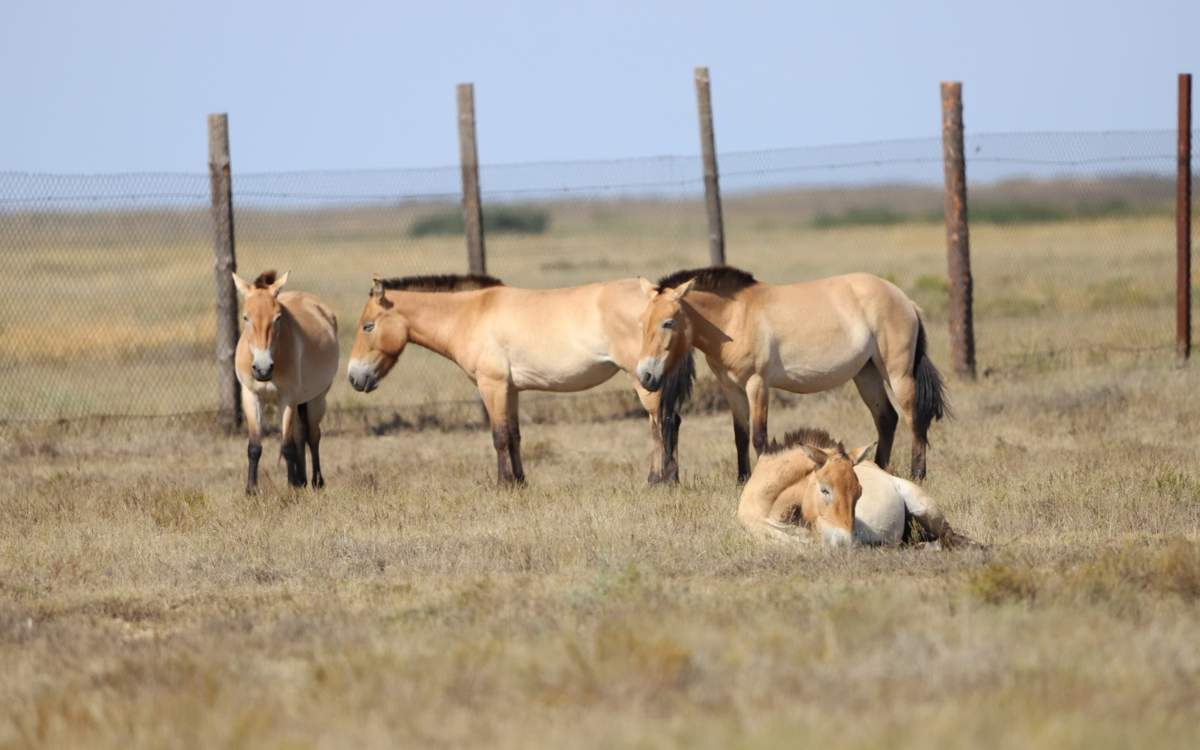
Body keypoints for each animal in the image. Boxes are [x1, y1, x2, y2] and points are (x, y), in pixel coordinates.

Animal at [232, 272, 338, 494]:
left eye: (278, 318)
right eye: (245, 317)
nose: (263, 369)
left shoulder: (287, 400)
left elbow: (287, 446)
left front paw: (291, 488)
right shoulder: (250, 397)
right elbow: (254, 447)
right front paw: (251, 490)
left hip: (316, 400)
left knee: (312, 436)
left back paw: (316, 481)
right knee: (300, 435)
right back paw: (302, 480)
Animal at [345, 274, 696, 484]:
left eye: (367, 326)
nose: (354, 377)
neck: (470, 314)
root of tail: (662, 300)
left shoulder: (492, 385)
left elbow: (499, 436)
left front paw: (504, 484)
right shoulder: (511, 389)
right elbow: (514, 435)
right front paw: (520, 481)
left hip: (645, 379)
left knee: (661, 422)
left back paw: (659, 480)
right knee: (670, 421)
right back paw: (668, 478)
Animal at [633, 266, 950, 482]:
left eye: (668, 322)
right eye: (642, 322)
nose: (645, 376)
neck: (735, 317)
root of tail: (906, 301)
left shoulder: (757, 385)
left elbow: (759, 437)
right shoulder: (731, 388)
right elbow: (740, 436)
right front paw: (741, 481)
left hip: (897, 374)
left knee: (914, 420)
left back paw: (917, 475)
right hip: (866, 374)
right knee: (886, 418)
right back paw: (880, 472)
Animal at [734, 429, 979, 547]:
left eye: (859, 493)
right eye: (824, 490)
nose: (845, 542)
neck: (763, 501)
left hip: (926, 509)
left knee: (950, 537)